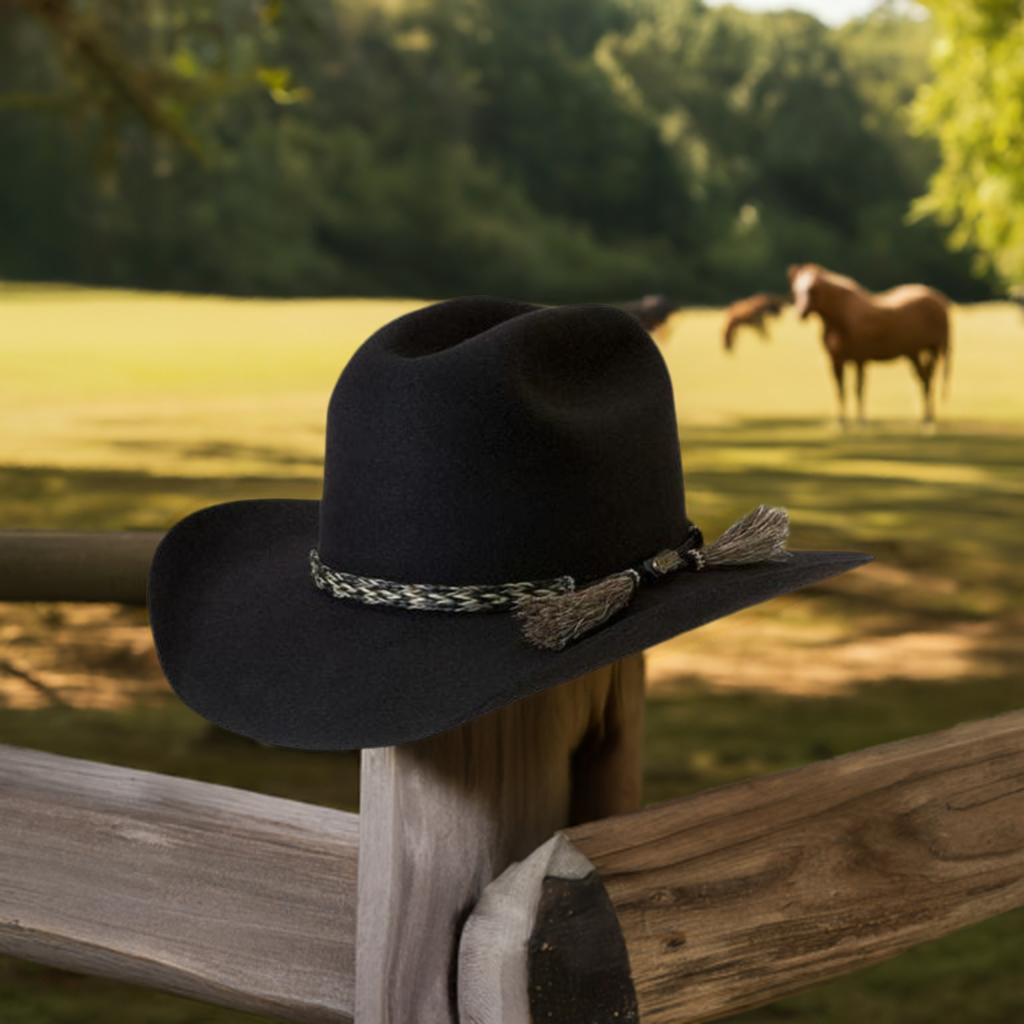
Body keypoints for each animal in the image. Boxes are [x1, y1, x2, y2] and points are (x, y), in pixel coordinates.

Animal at [790, 266, 950, 425]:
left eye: (812, 289)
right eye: (796, 289)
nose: (801, 313)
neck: (841, 319)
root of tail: (939, 301)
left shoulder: (859, 359)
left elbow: (858, 389)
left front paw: (860, 420)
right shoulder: (836, 360)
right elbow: (841, 389)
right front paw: (842, 420)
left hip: (932, 350)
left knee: (929, 379)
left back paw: (929, 417)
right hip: (914, 353)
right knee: (925, 379)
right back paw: (926, 417)